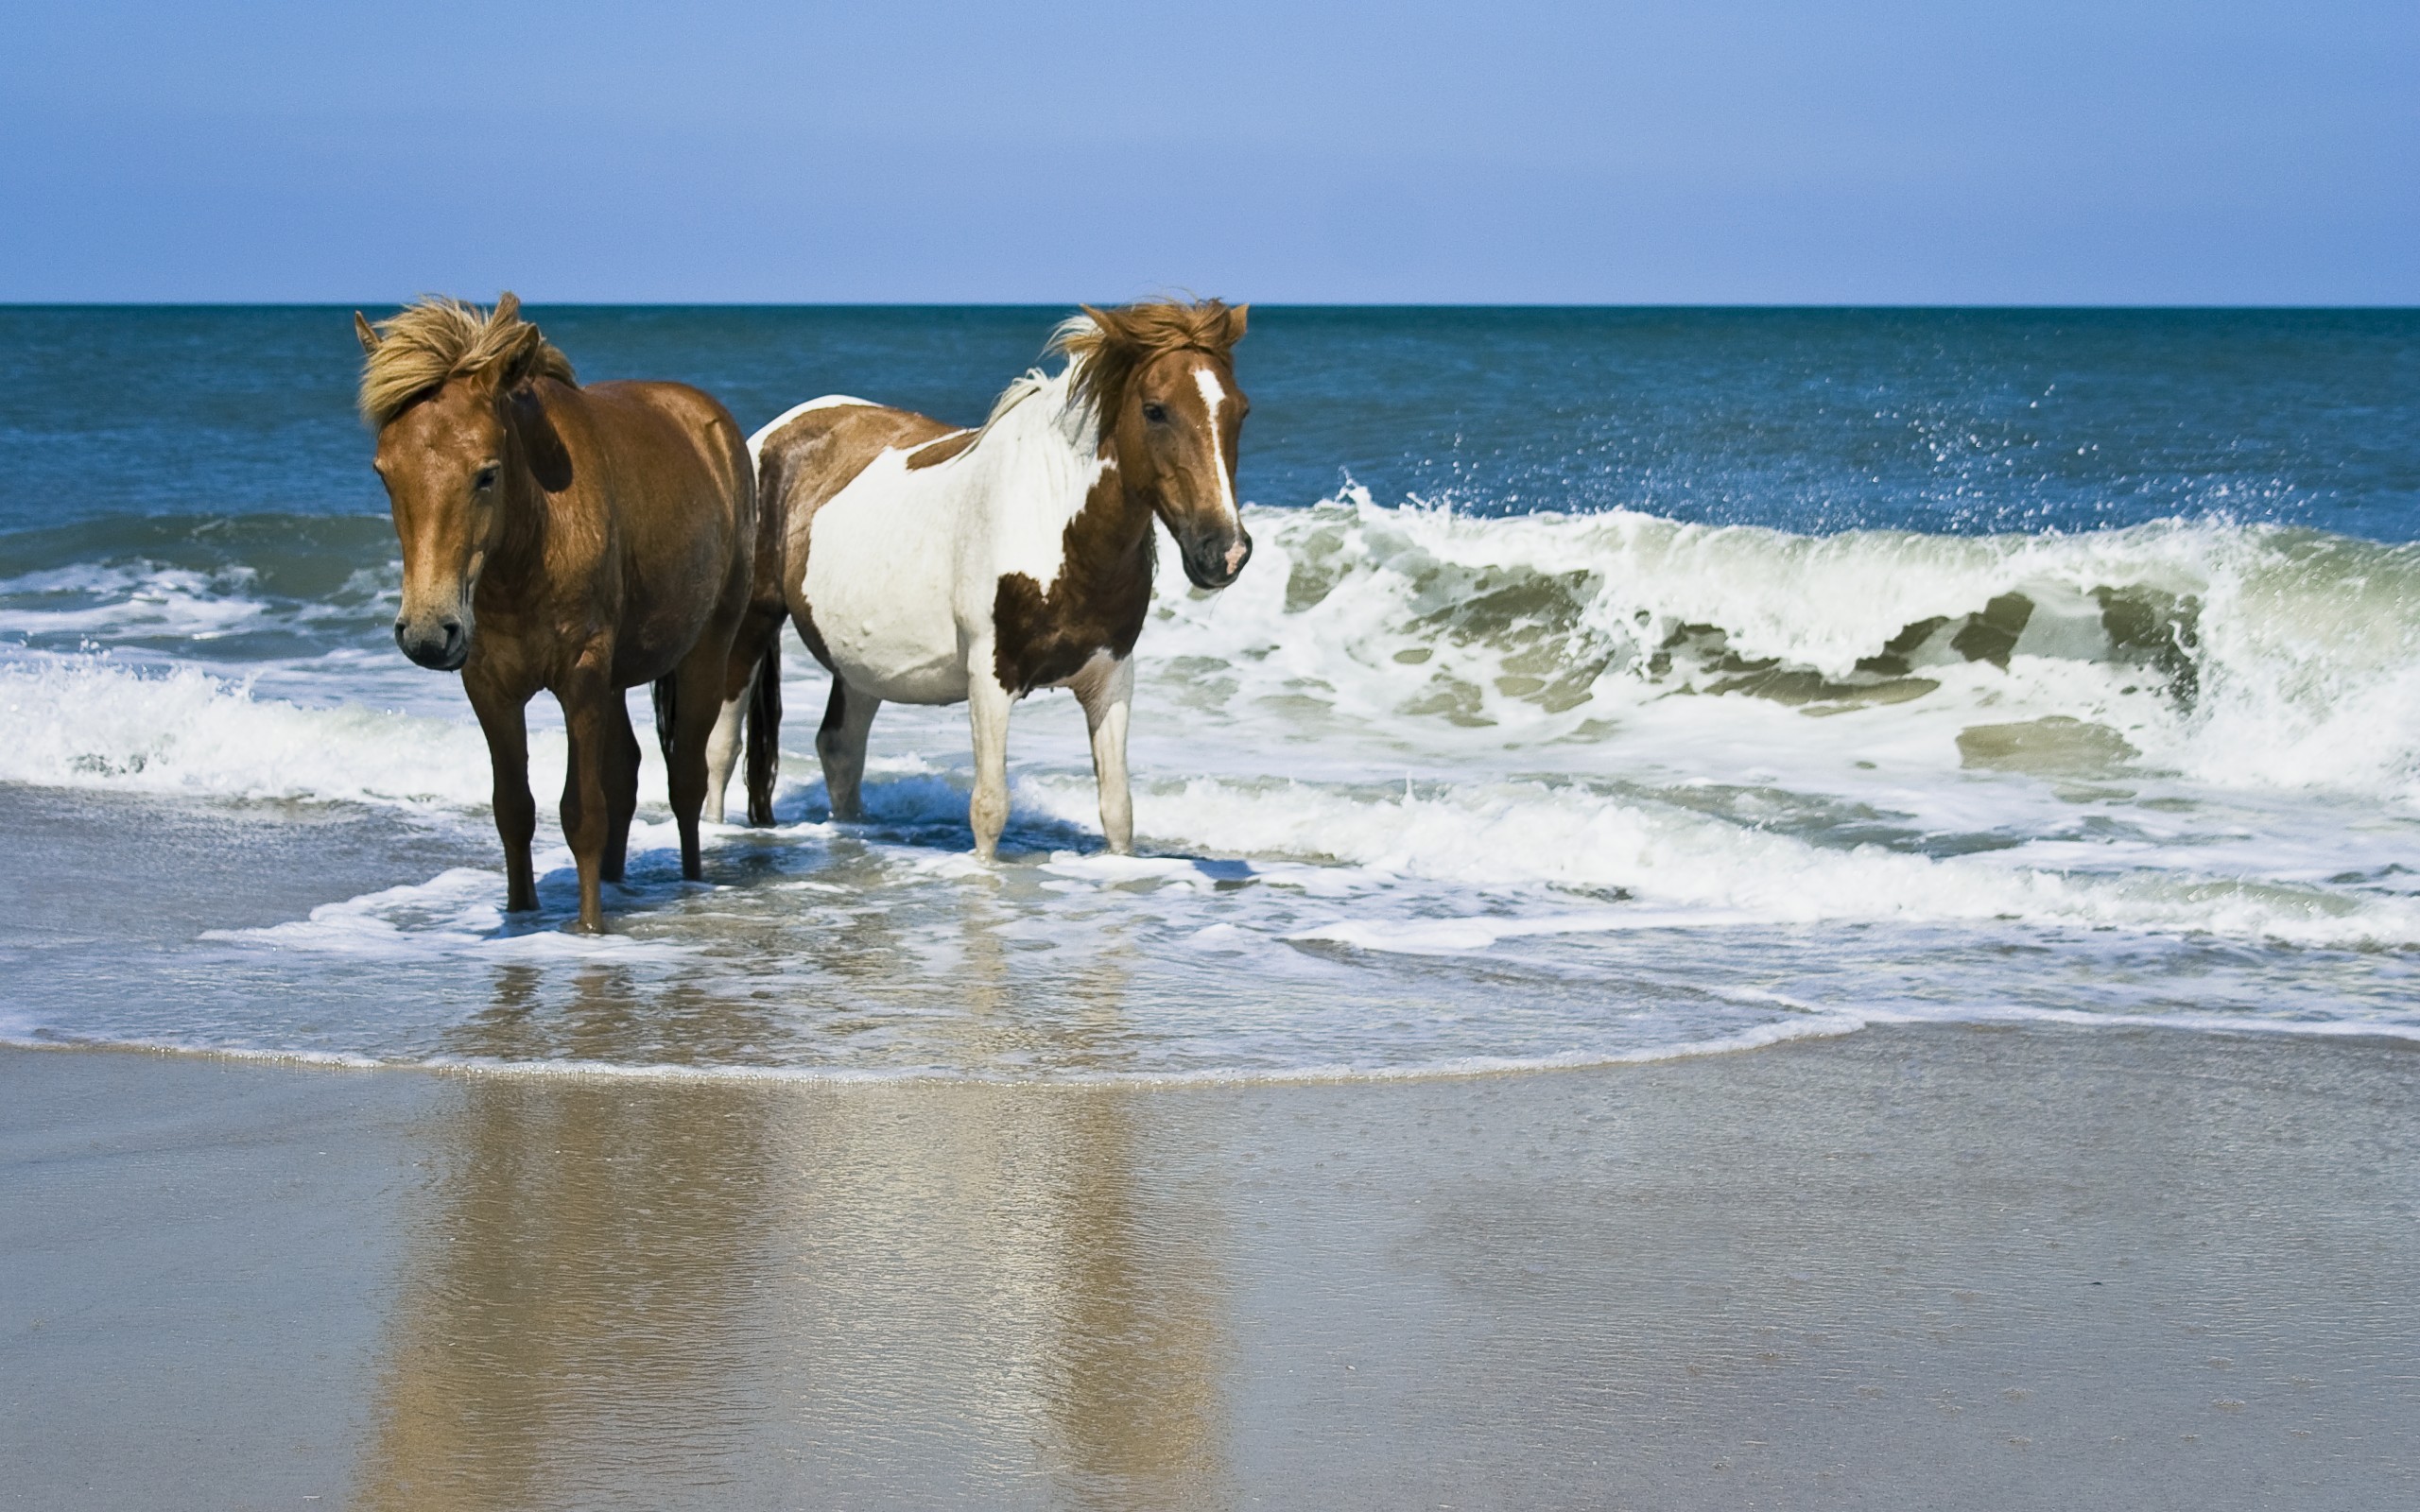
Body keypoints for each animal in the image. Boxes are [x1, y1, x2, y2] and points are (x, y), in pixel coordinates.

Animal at [351, 291, 754, 934]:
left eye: (486, 474)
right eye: (384, 473)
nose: (427, 635)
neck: (531, 546)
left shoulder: (581, 676)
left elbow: (582, 813)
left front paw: (589, 929)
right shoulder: (489, 686)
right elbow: (514, 810)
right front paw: (522, 915)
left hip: (706, 654)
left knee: (685, 778)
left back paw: (689, 883)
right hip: (617, 678)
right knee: (627, 771)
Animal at [706, 301, 1248, 856]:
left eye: (1240, 411)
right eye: (1155, 410)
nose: (1225, 551)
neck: (1053, 525)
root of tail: (770, 434)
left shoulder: (1111, 677)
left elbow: (1118, 811)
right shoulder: (989, 679)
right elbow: (989, 808)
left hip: (860, 662)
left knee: (839, 750)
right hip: (750, 626)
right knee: (721, 750)